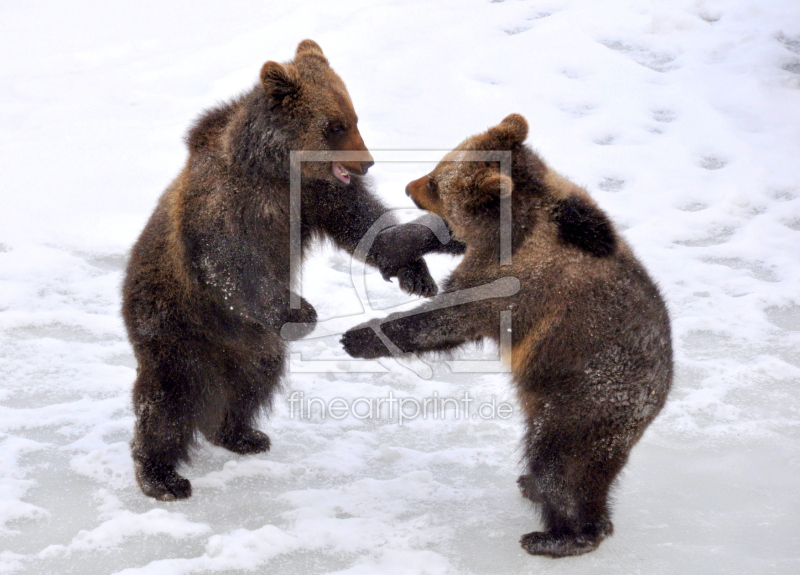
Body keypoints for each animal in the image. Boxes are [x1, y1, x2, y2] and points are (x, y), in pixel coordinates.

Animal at [119, 39, 460, 500]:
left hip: (251, 343)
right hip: (174, 320)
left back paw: (242, 433)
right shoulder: (227, 205)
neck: (277, 171)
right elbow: (229, 263)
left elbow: (368, 230)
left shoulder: (318, 197)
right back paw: (162, 475)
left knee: (254, 380)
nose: (367, 163)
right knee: (168, 396)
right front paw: (303, 311)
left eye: (354, 118)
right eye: (334, 125)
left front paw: (422, 264)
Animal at [340, 113, 672, 560]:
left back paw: (559, 534)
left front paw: (358, 335)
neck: (517, 227)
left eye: (435, 183)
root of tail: (660, 393)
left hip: (581, 399)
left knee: (561, 466)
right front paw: (402, 245)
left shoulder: (513, 286)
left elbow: (447, 318)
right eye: (438, 169)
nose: (410, 185)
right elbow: (449, 237)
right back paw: (536, 490)